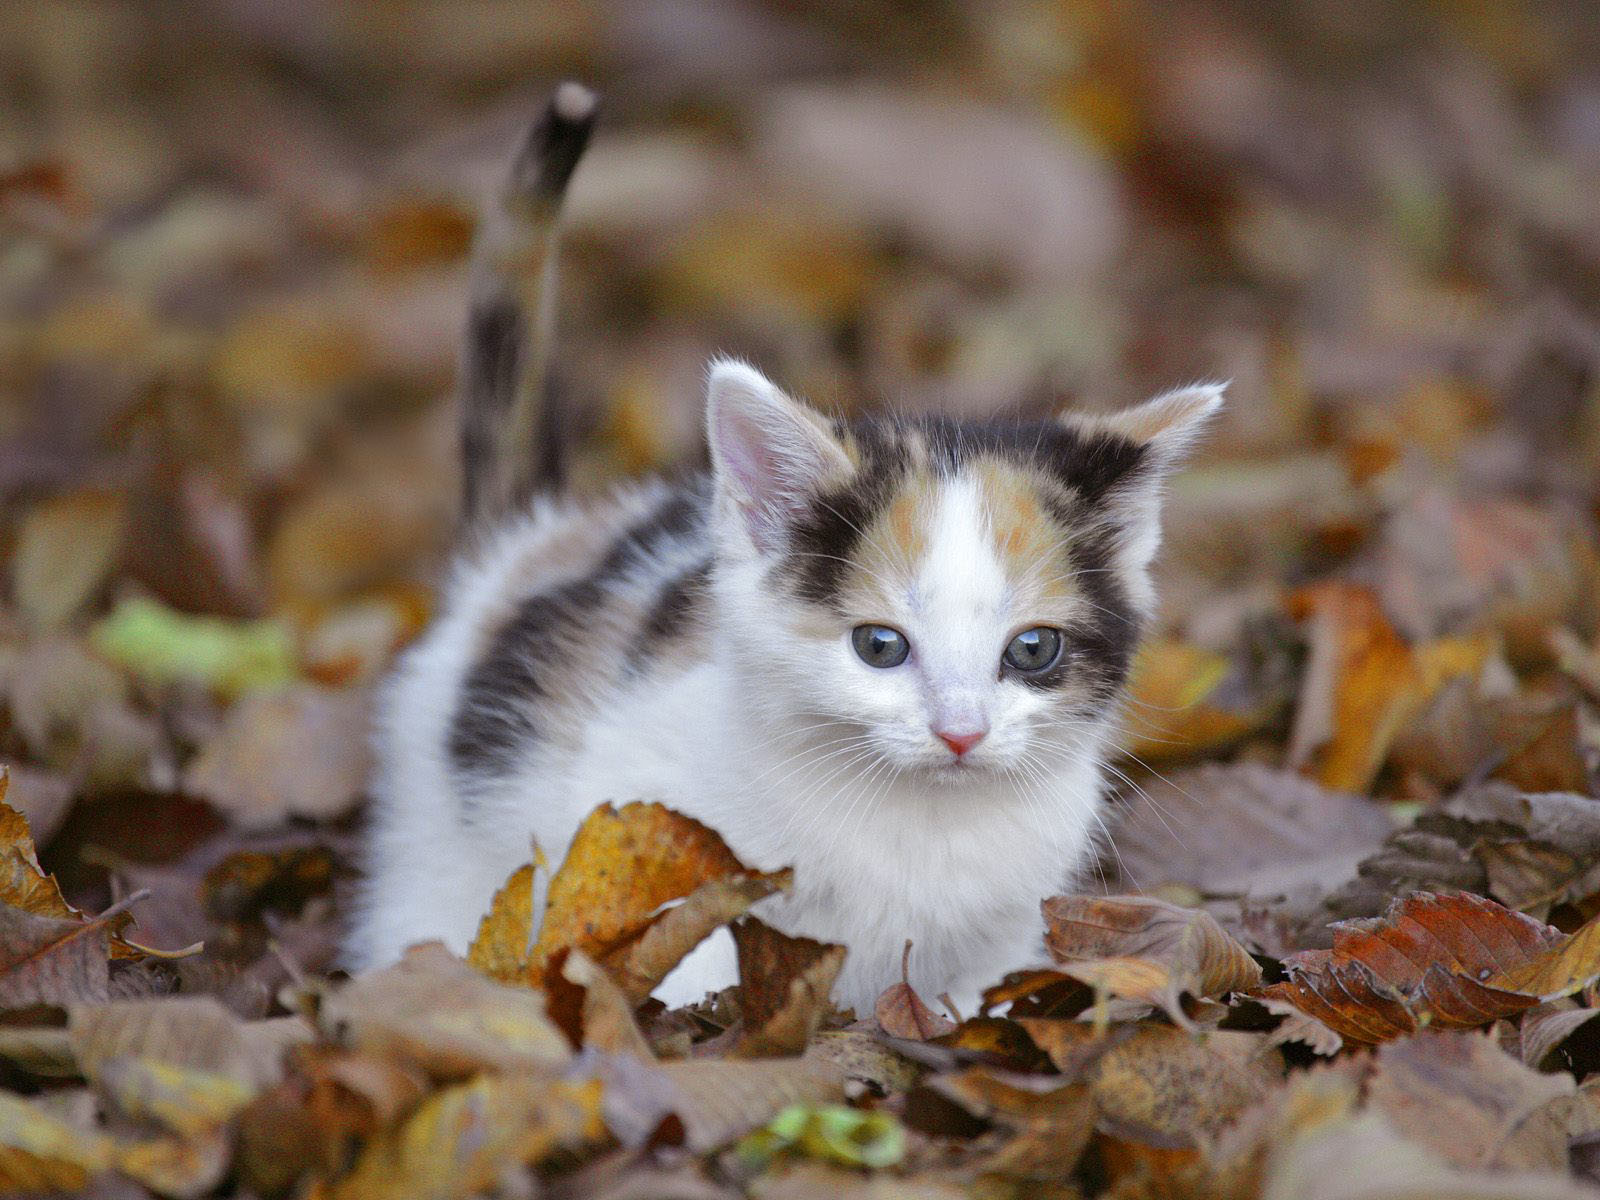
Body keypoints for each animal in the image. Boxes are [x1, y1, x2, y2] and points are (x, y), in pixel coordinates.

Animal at [350, 84, 1222, 1017]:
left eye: (1032, 650)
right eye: (879, 646)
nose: (960, 734)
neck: (919, 823)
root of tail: (531, 543)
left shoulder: (1007, 919)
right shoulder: (646, 826)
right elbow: (677, 960)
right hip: (440, 832)